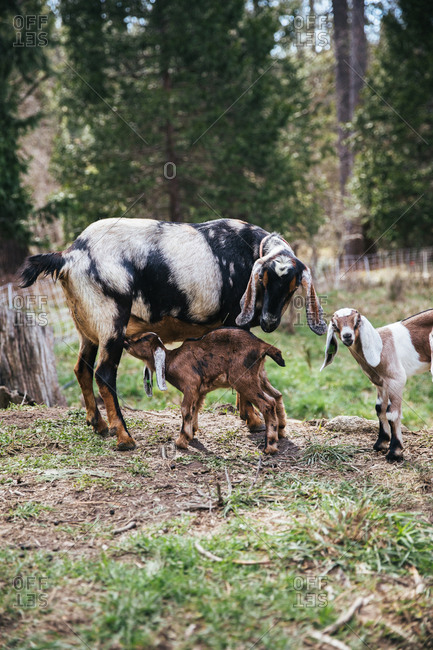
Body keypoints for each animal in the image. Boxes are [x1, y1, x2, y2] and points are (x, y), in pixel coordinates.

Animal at [124, 328, 287, 454]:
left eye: (141, 339)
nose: (125, 341)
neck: (171, 360)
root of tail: (262, 346)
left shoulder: (190, 386)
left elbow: (185, 410)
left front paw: (181, 441)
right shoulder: (200, 391)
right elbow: (195, 409)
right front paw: (192, 432)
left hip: (243, 380)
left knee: (268, 403)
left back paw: (270, 447)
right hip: (260, 376)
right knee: (277, 395)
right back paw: (281, 431)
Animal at [321, 307, 433, 461]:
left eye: (357, 321)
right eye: (335, 324)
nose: (347, 336)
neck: (381, 348)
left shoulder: (396, 380)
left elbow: (392, 414)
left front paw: (395, 452)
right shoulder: (381, 384)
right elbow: (380, 409)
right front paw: (381, 443)